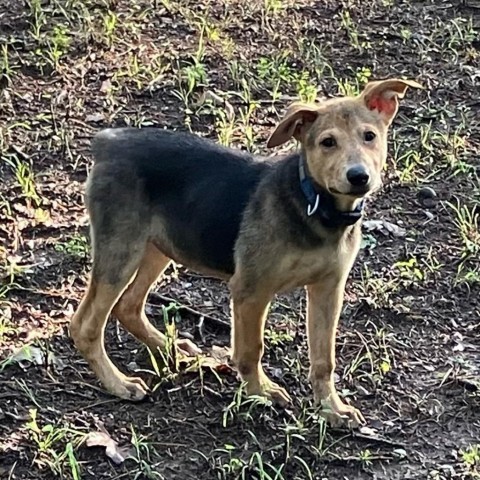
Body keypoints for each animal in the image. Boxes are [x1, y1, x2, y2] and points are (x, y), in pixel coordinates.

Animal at [70, 79, 420, 428]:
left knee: (128, 305)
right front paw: (261, 391)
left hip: (160, 246)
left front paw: (332, 408)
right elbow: (252, 349)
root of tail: (108, 141)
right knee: (85, 326)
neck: (314, 205)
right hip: (122, 252)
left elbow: (324, 359)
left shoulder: (328, 288)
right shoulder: (251, 289)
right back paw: (118, 383)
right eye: (327, 142)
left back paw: (173, 348)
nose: (358, 176)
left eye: (369, 136)